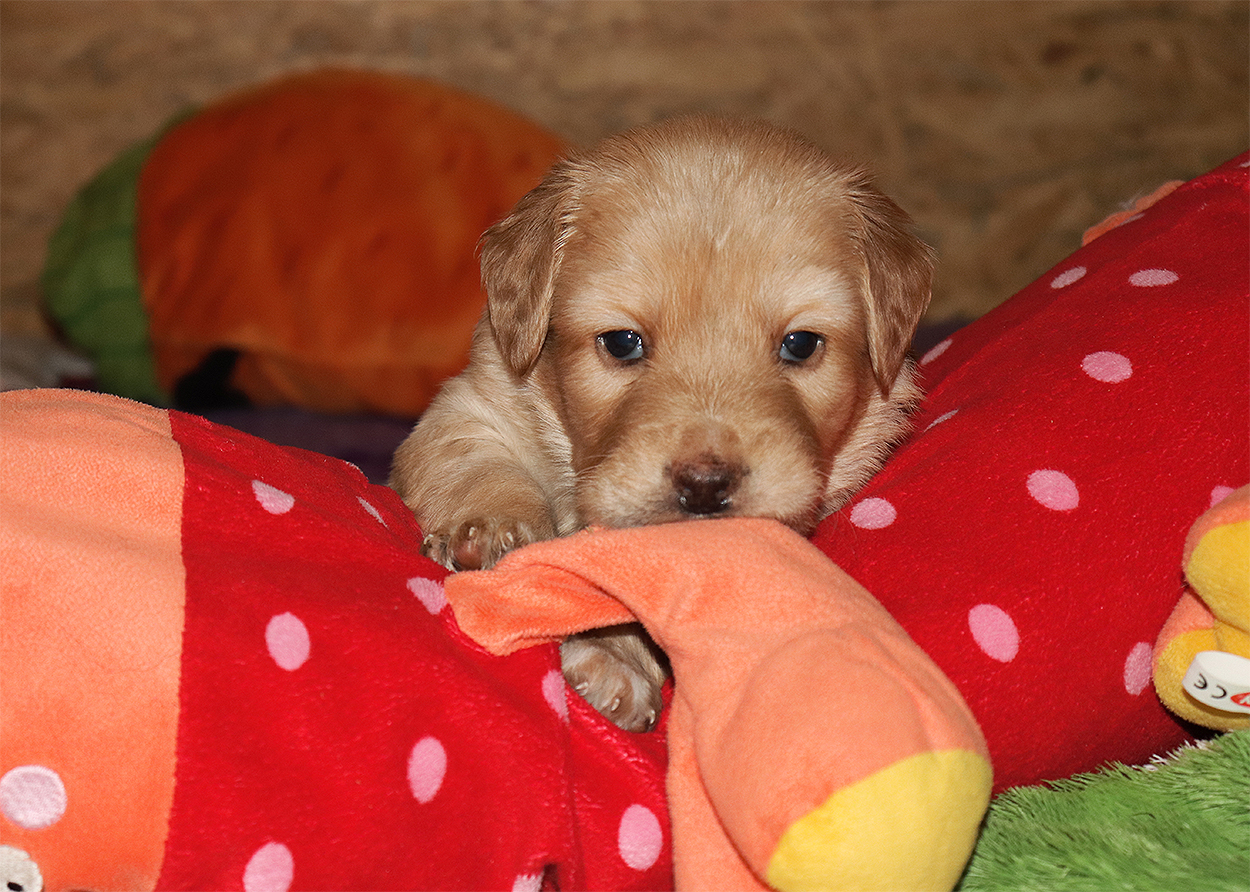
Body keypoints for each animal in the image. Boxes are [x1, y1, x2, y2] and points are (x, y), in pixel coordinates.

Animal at [391, 116, 933, 731]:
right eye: (623, 342)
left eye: (800, 344)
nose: (705, 486)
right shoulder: (470, 409)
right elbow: (479, 467)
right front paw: (494, 531)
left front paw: (611, 654)